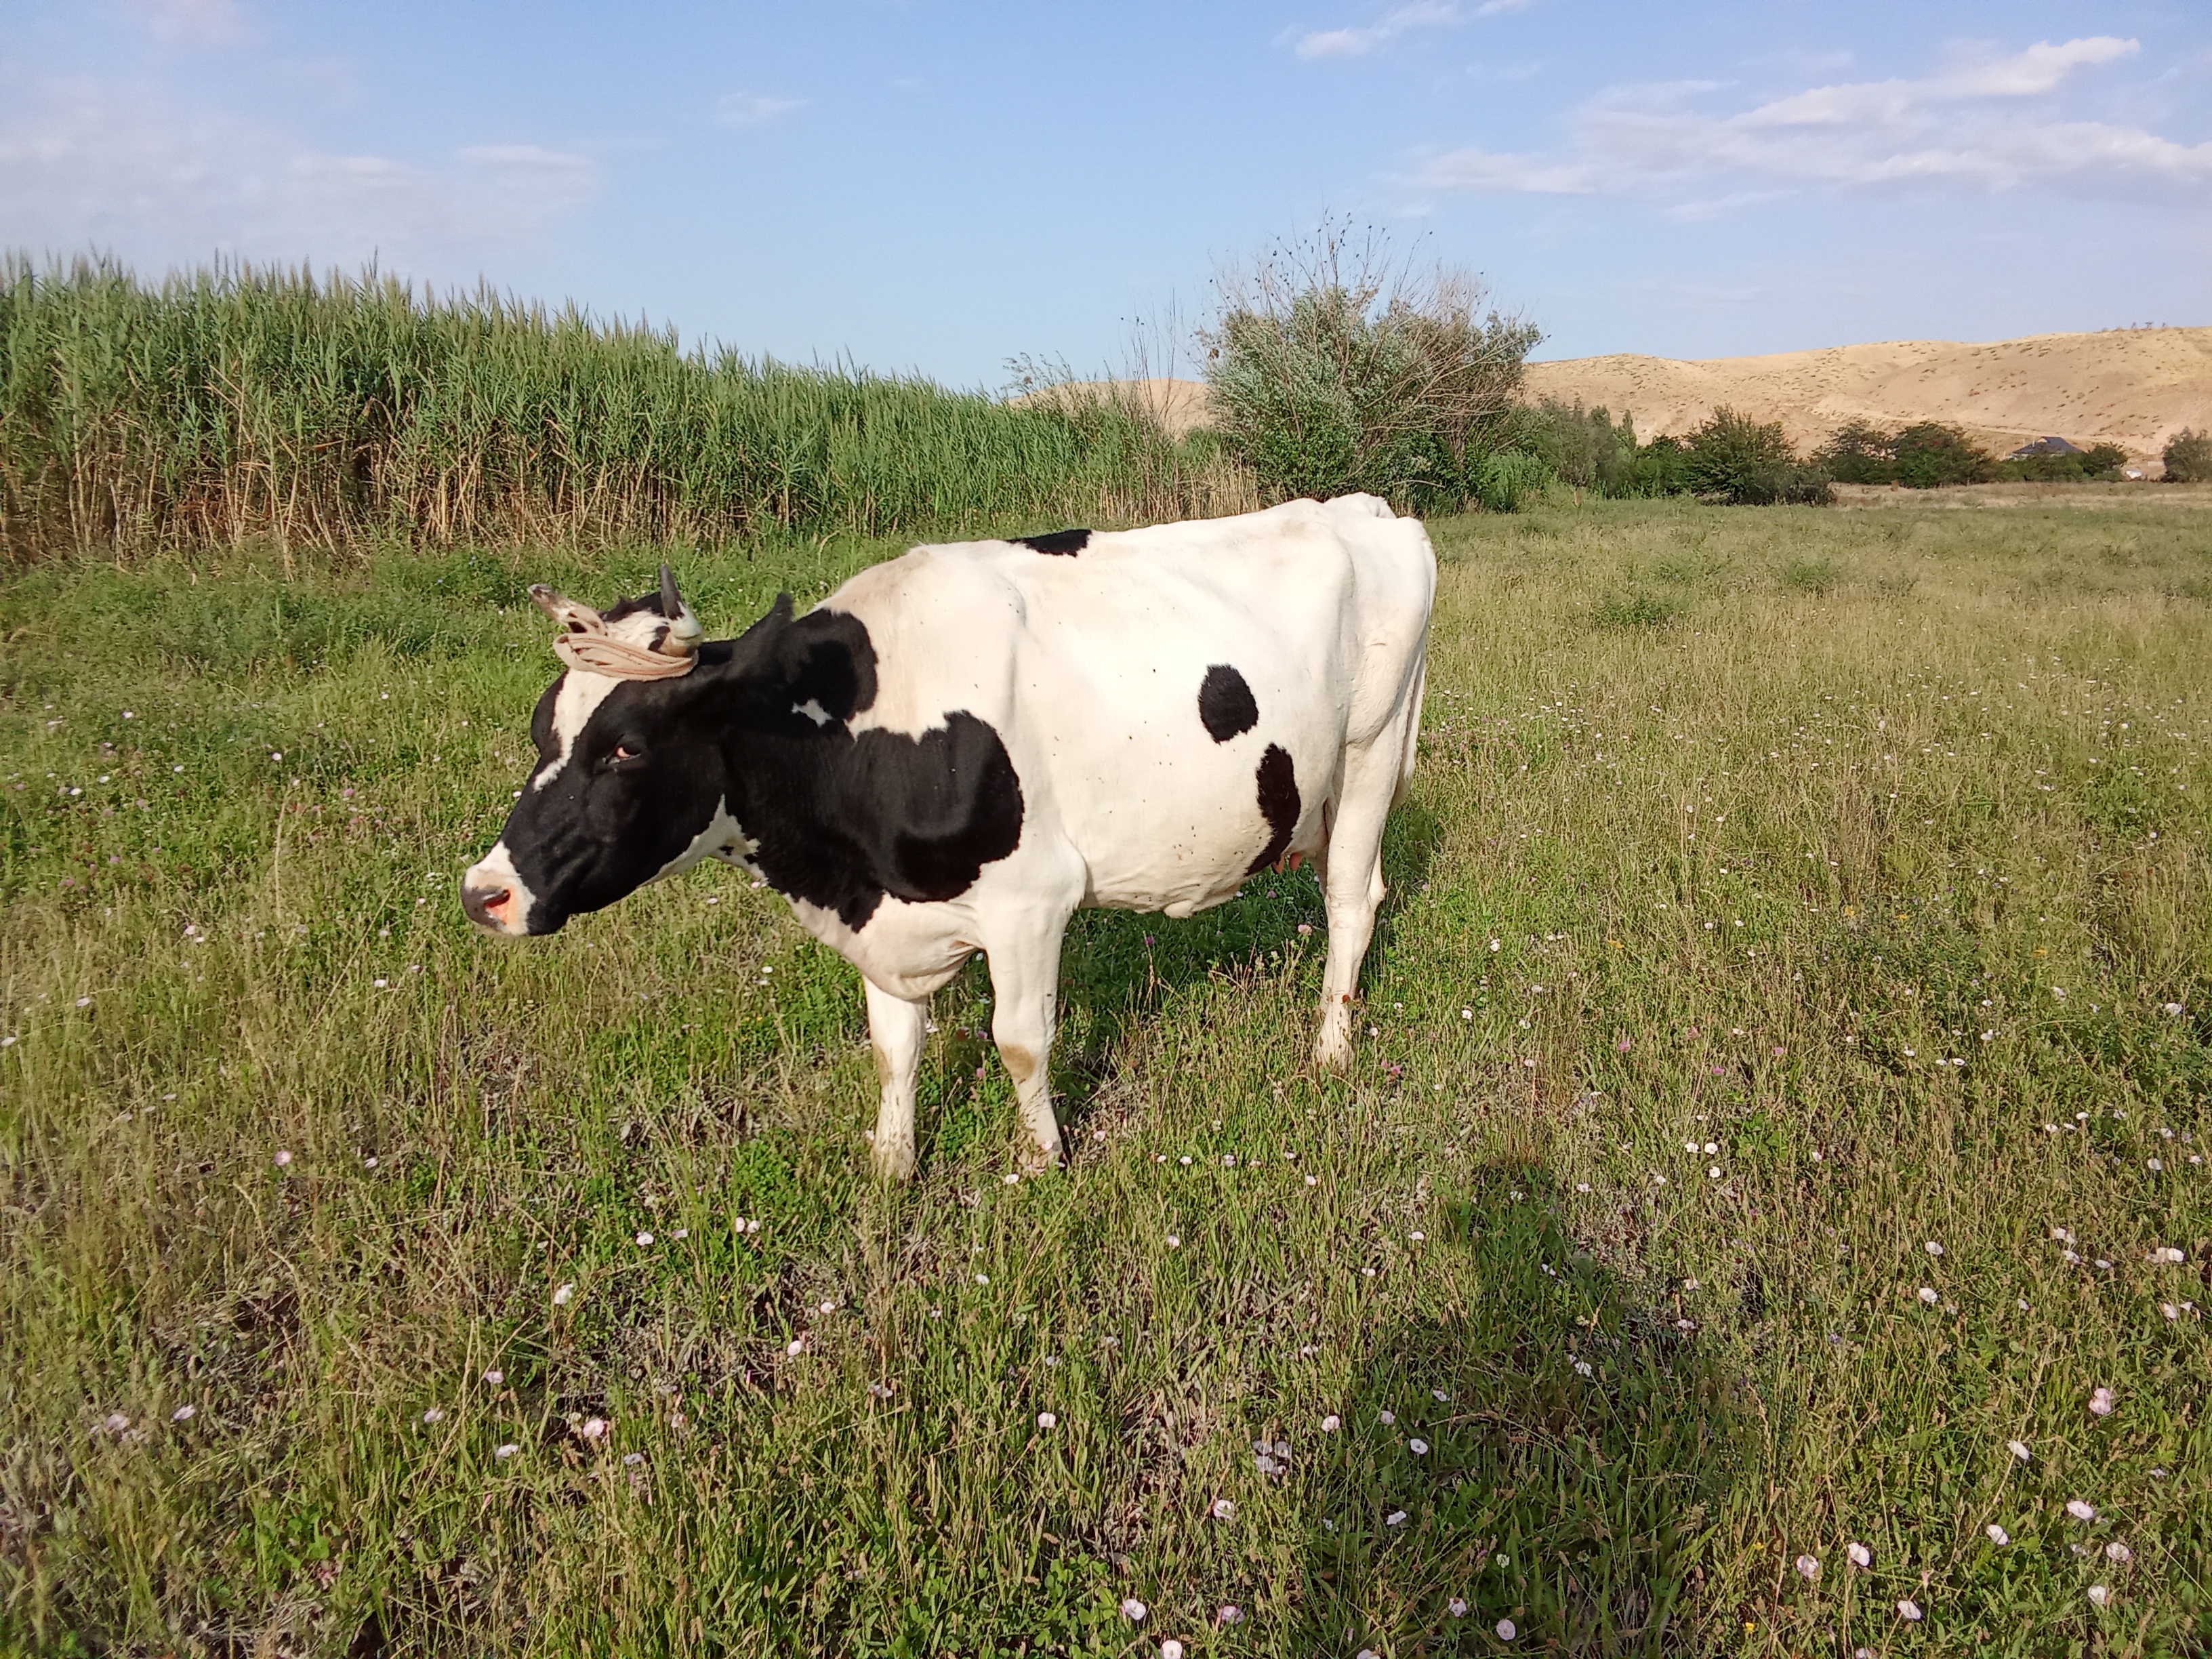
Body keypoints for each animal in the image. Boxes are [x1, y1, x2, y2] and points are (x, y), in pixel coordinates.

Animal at [461, 495, 1435, 1179]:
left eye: (625, 746)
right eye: (542, 730)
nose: (485, 893)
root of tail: (1362, 508)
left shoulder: (1031, 901)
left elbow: (1020, 1039)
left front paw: (1043, 1163)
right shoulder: (885, 913)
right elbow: (892, 1049)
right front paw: (891, 1169)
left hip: (1372, 750)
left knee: (1351, 900)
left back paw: (1331, 1051)